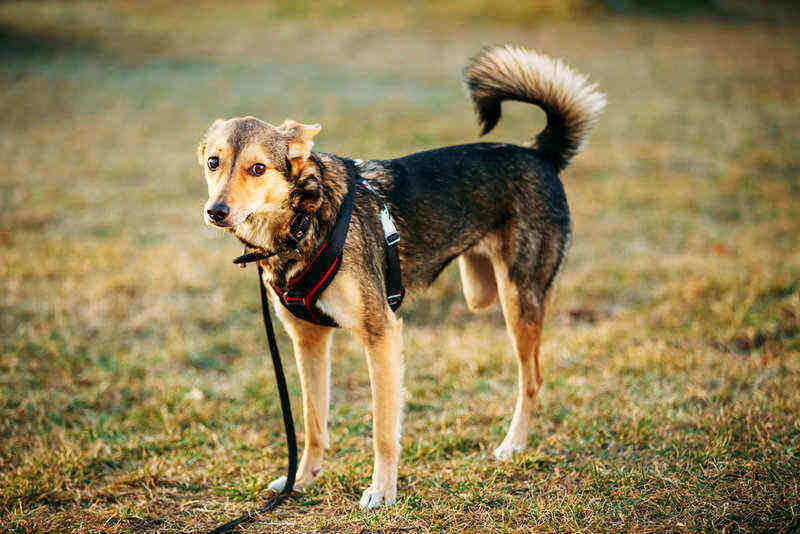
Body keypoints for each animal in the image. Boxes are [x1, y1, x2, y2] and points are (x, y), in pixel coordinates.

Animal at [197, 46, 604, 510]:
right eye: (213, 163)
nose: (216, 211)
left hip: (519, 298)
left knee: (532, 378)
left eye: (258, 168)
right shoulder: (308, 339)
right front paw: (301, 480)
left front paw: (382, 492)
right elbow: (313, 423)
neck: (304, 218)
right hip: (481, 289)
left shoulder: (382, 334)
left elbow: (382, 430)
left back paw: (512, 445)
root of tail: (539, 153)